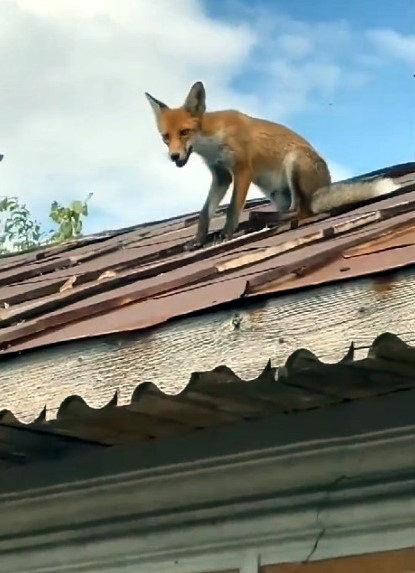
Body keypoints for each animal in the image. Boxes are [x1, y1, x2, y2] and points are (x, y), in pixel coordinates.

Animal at [145, 81, 402, 248]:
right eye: (165, 137)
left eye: (184, 132)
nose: (174, 157)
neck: (212, 141)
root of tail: (324, 185)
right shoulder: (221, 175)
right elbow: (205, 212)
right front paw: (199, 239)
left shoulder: (242, 169)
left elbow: (232, 209)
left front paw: (226, 234)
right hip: (277, 193)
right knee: (296, 210)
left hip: (294, 161)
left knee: (303, 211)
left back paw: (262, 217)